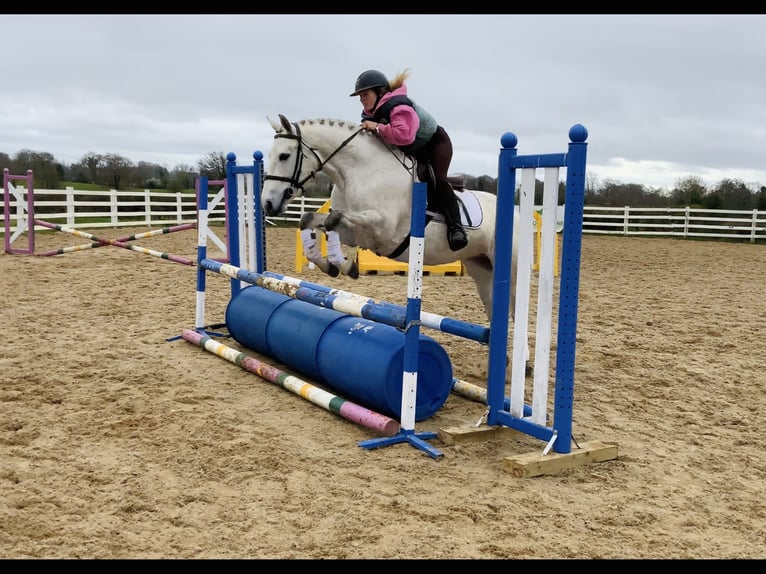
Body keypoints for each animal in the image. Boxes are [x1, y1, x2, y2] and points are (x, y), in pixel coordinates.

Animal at [260, 114, 525, 370]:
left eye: (284, 155)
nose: (267, 204)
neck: (358, 171)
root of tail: (516, 211)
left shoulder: (382, 228)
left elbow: (335, 219)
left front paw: (344, 265)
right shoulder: (355, 232)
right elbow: (312, 220)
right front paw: (336, 265)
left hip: (510, 272)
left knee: (514, 309)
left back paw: (523, 363)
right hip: (481, 268)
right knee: (495, 309)